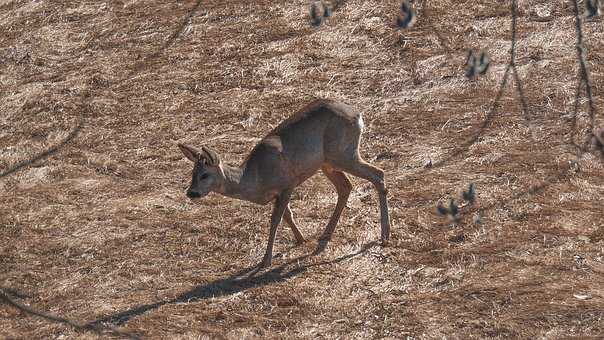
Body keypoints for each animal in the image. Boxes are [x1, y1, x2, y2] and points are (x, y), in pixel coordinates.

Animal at [178, 98, 392, 268]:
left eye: (204, 175)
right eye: (192, 173)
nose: (191, 192)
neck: (256, 178)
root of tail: (358, 115)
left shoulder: (288, 183)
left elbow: (276, 219)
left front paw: (266, 260)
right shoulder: (278, 192)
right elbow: (287, 215)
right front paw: (301, 239)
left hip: (343, 153)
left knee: (378, 174)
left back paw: (384, 236)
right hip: (327, 163)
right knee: (346, 186)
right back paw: (325, 235)